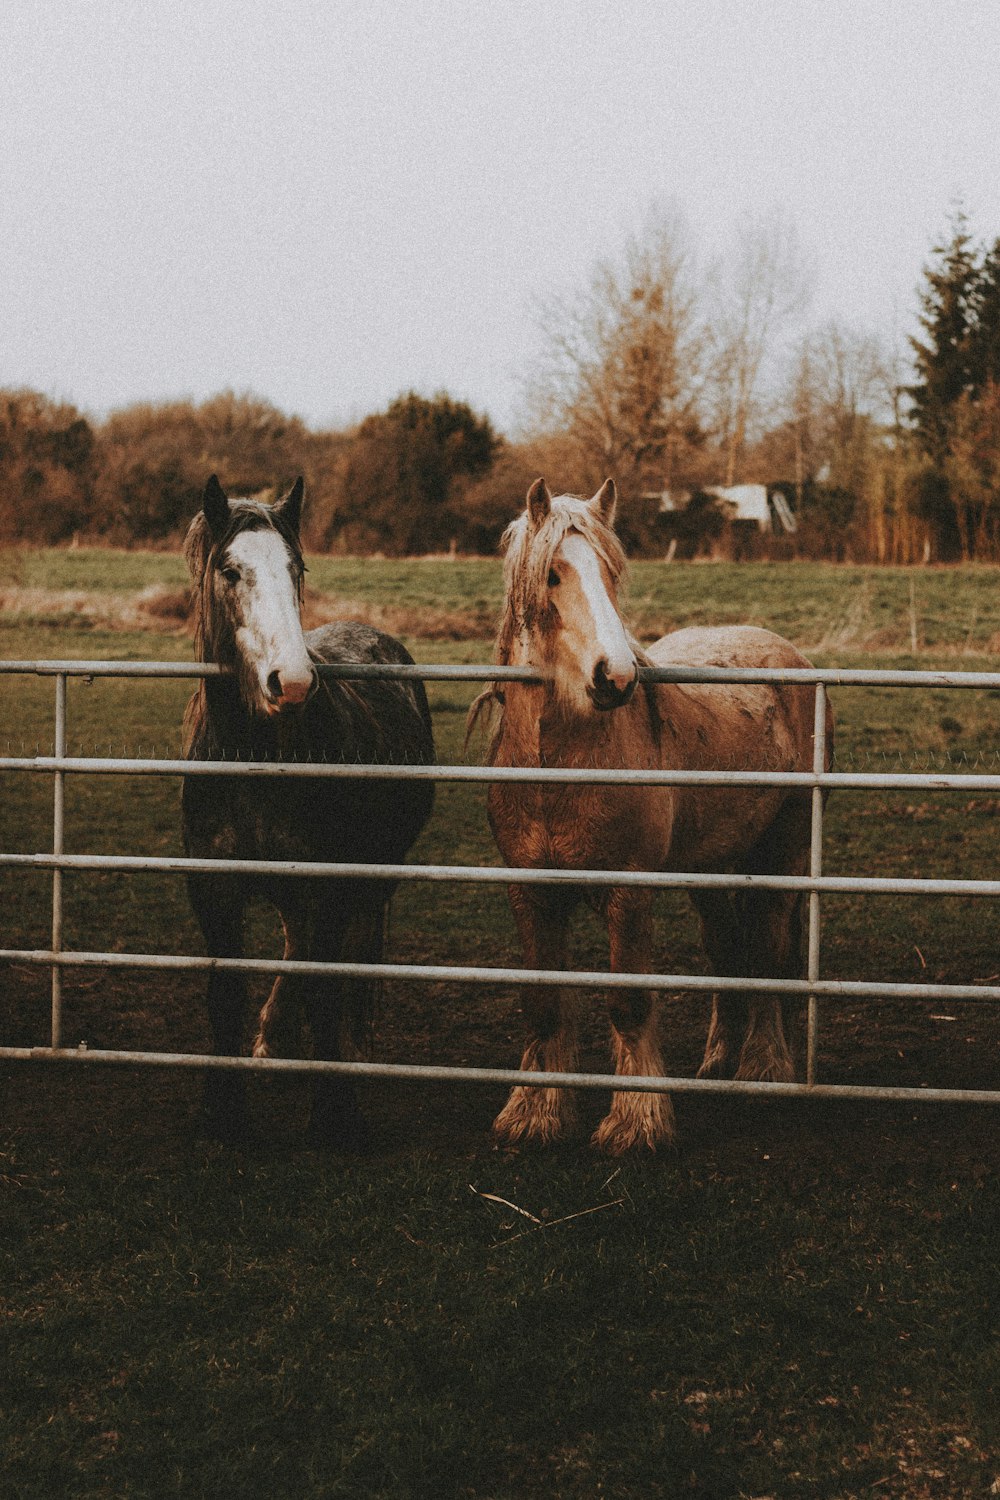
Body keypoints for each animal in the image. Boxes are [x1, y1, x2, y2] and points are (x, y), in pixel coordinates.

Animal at [183, 480, 434, 1146]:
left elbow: (325, 986)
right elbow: (224, 993)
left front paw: (336, 1113)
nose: (291, 682)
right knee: (298, 946)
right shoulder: (215, 890)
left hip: (372, 877)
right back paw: (276, 1039)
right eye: (229, 570)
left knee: (345, 959)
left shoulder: (328, 883)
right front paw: (224, 1113)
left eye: (296, 569)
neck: (256, 761)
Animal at [479, 474, 833, 1152]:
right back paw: (718, 1060)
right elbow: (544, 1003)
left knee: (767, 953)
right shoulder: (528, 891)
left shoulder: (629, 892)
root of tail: (788, 654)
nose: (614, 678)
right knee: (727, 951)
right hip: (711, 869)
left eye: (612, 574)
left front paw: (636, 1121)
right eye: (554, 574)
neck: (558, 767)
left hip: (782, 852)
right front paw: (535, 1113)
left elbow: (630, 1002)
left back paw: (763, 1069)